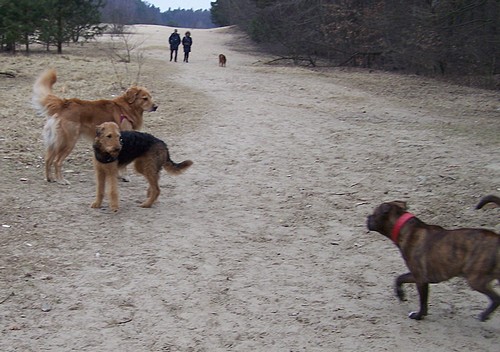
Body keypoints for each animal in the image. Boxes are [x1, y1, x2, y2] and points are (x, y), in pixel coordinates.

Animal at [366, 201, 498, 322]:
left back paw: (484, 315)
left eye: (374, 214)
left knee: (496, 298)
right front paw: (400, 294)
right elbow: (399, 278)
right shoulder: (415, 275)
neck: (407, 228)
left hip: (476, 280)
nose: (367, 217)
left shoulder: (420, 278)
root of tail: (496, 238)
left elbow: (423, 302)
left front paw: (418, 316)